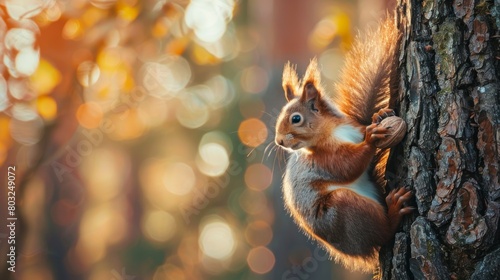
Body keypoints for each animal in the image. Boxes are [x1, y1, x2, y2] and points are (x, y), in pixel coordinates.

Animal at [276, 17, 412, 272]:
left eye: (295, 118)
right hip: (345, 209)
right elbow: (346, 167)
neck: (334, 130)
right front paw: (372, 138)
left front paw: (380, 116)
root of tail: (360, 250)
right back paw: (394, 212)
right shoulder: (323, 159)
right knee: (384, 234)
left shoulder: (354, 129)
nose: (279, 140)